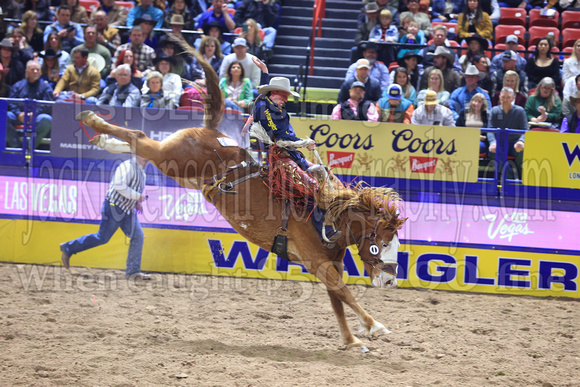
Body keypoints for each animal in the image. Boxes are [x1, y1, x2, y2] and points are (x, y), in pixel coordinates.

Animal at [75, 38, 406, 352]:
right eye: (383, 243)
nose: (391, 280)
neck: (326, 216)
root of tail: (210, 131)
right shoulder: (319, 264)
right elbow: (346, 294)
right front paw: (375, 327)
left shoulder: (328, 266)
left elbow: (338, 301)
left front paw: (353, 341)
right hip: (172, 158)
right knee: (140, 137)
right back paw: (92, 120)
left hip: (175, 168)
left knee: (138, 145)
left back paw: (103, 139)